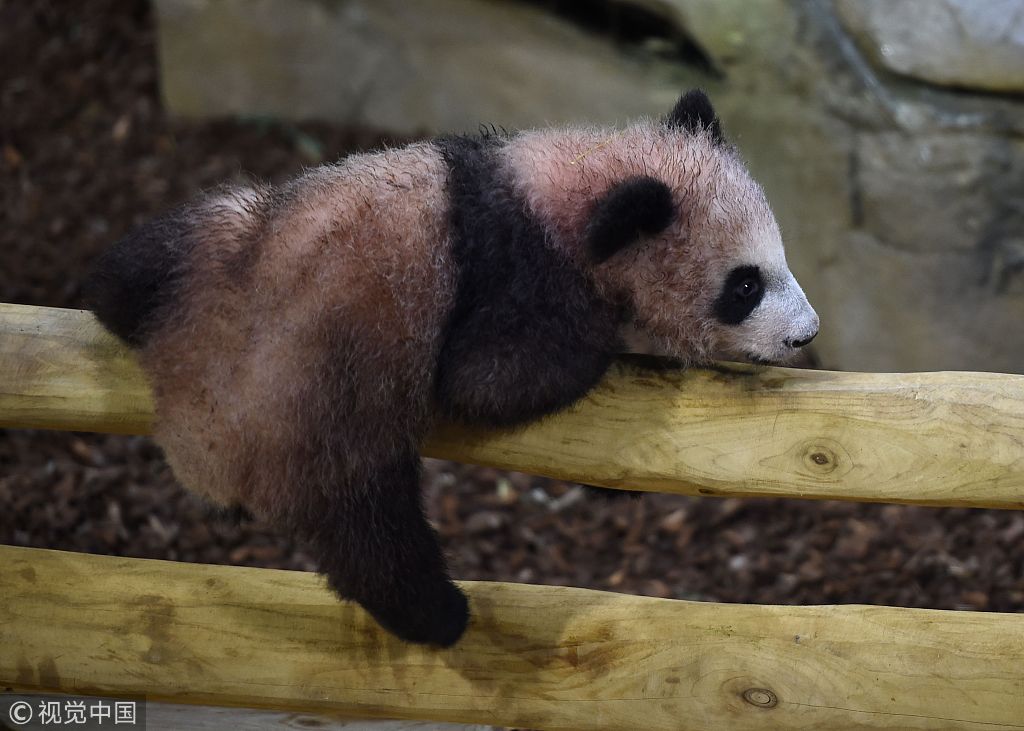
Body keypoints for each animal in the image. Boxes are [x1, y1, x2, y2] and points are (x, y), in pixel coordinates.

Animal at [83, 89, 819, 642]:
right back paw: (436, 615)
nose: (806, 334)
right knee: (372, 530)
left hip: (229, 242)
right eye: (744, 286)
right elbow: (490, 380)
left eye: (781, 257)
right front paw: (614, 345)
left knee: (152, 252)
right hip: (317, 413)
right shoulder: (512, 273)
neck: (570, 182)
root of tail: (187, 415)